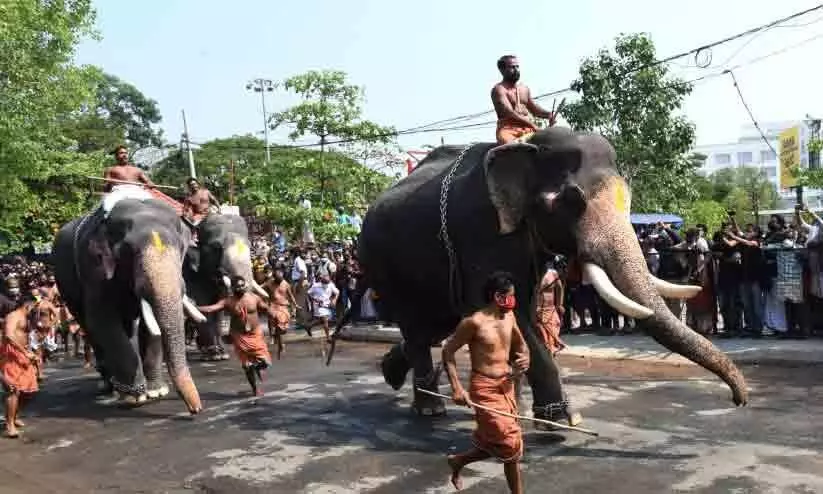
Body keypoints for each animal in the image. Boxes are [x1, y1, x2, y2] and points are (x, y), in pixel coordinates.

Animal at [53, 198, 206, 412]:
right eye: (128, 252)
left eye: (181, 249)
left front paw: (156, 392)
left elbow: (150, 328)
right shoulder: (93, 267)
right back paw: (109, 386)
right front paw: (136, 397)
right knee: (89, 326)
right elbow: (102, 320)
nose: (196, 410)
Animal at [183, 212, 268, 358]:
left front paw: (221, 352)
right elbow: (204, 304)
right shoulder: (192, 273)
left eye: (250, 246)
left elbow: (218, 307)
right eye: (216, 247)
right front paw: (215, 353)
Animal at [358, 127, 748, 424]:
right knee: (418, 325)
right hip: (384, 264)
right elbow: (511, 314)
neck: (528, 146)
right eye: (572, 200)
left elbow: (521, 313)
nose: (739, 400)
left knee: (433, 326)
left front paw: (520, 408)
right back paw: (430, 408)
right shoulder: (480, 233)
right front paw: (562, 419)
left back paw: (392, 373)